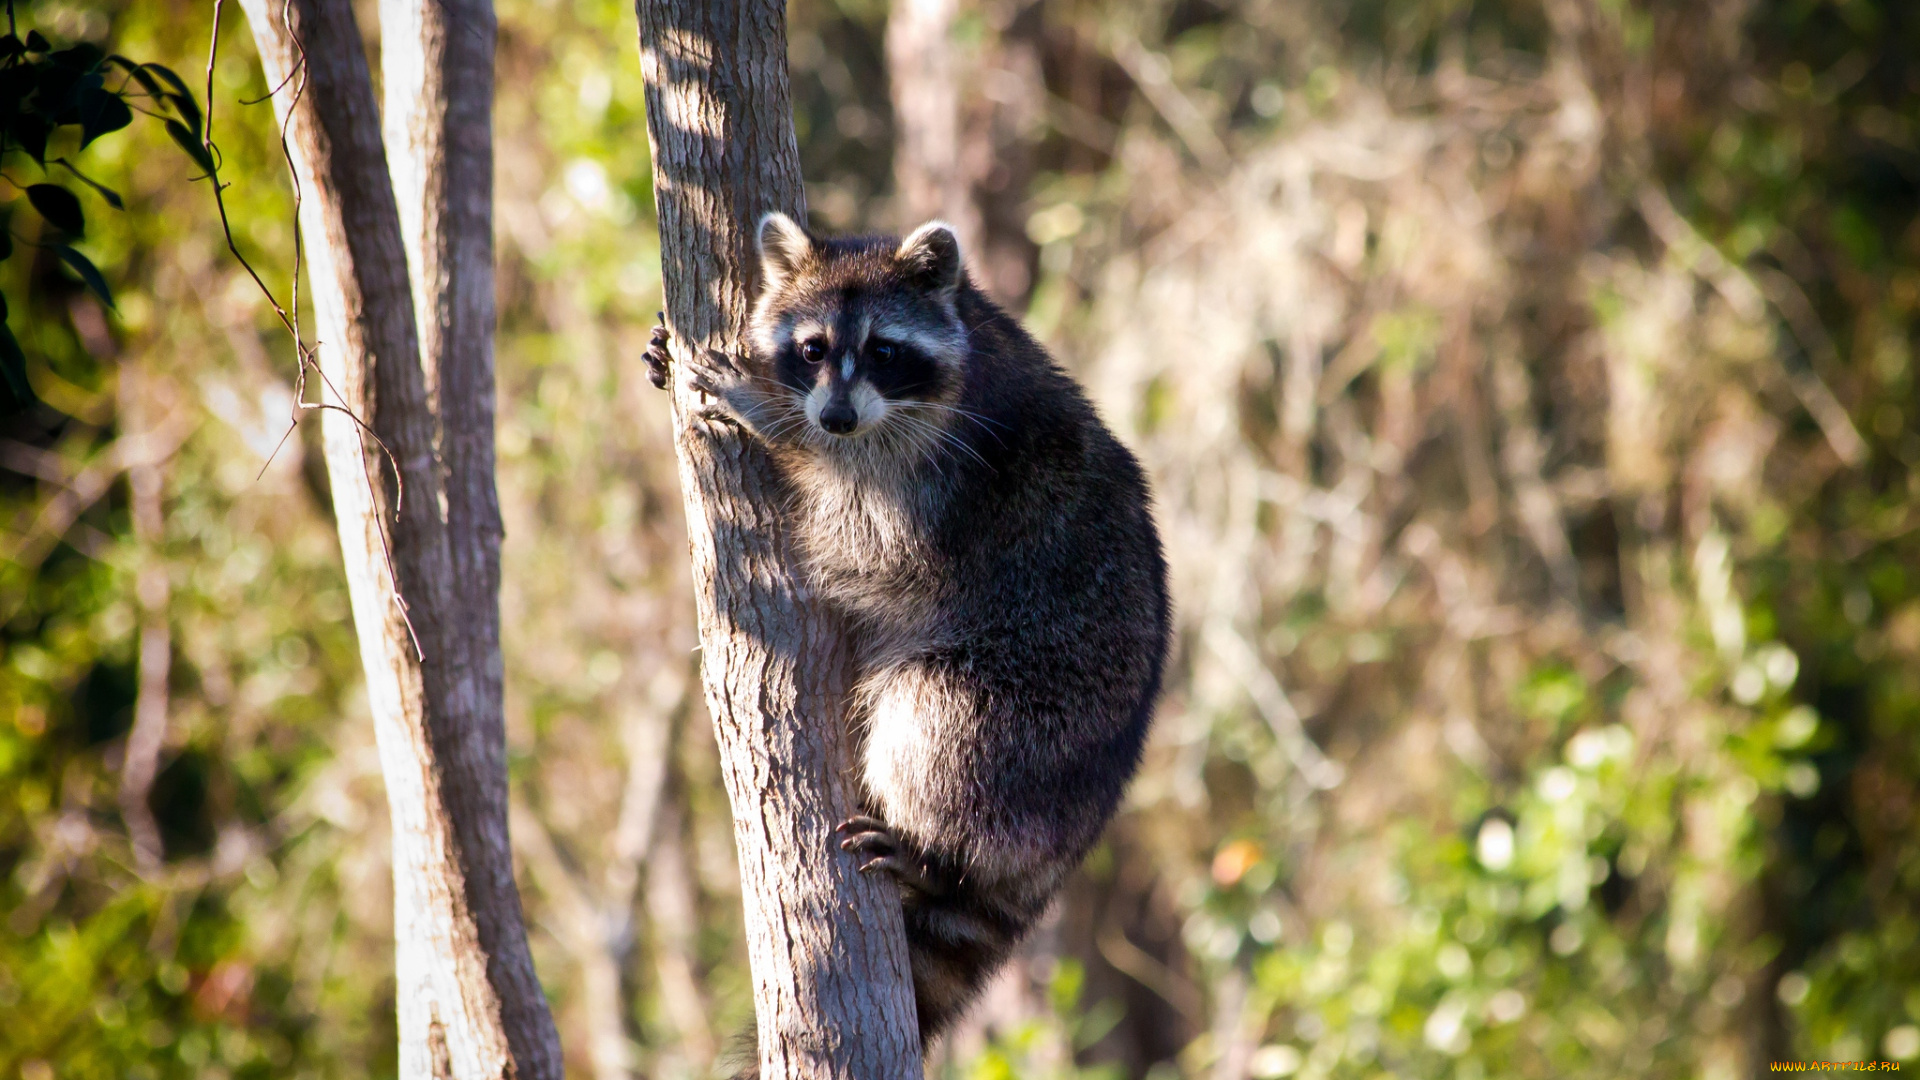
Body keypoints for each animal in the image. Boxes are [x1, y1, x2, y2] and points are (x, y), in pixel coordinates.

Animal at [641, 210, 1167, 1053]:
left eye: (885, 351)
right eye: (813, 348)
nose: (834, 418)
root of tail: (1080, 824)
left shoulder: (950, 474)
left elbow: (868, 540)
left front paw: (778, 426)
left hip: (1036, 718)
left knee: (935, 718)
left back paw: (937, 856)